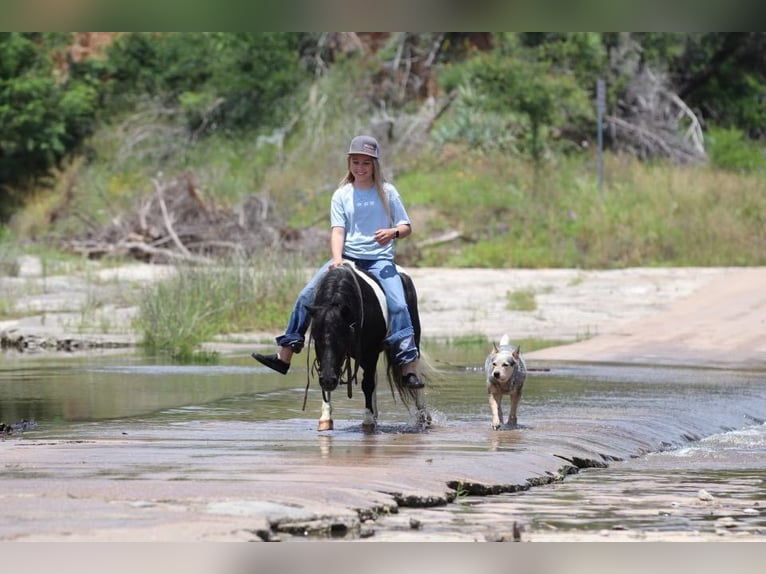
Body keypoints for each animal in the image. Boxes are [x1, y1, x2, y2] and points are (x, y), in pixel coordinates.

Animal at [306, 260, 428, 432]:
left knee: (413, 369)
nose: (329, 381)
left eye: (342, 337)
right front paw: (325, 418)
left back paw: (424, 417)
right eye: (316, 339)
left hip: (412, 340)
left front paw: (368, 421)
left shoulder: (370, 352)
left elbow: (367, 384)